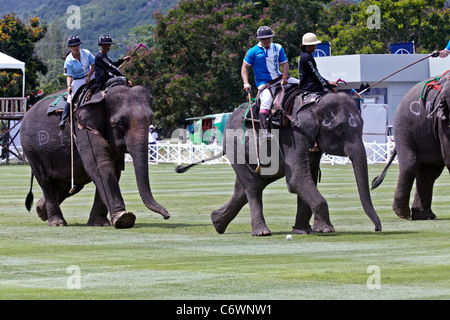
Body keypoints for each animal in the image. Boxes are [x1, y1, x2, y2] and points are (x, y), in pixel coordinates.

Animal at [20, 85, 171, 228]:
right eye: (119, 123)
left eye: (151, 120)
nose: (167, 216)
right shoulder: (83, 129)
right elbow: (99, 165)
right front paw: (124, 218)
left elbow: (114, 169)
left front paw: (100, 223)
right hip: (32, 150)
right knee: (46, 181)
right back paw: (56, 222)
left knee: (70, 184)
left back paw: (41, 210)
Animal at [178, 90, 382, 235]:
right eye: (339, 128)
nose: (377, 229)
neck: (314, 103)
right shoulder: (293, 135)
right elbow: (297, 179)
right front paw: (326, 229)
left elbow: (309, 176)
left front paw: (303, 231)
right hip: (234, 145)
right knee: (252, 185)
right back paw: (261, 232)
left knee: (246, 187)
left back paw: (217, 222)